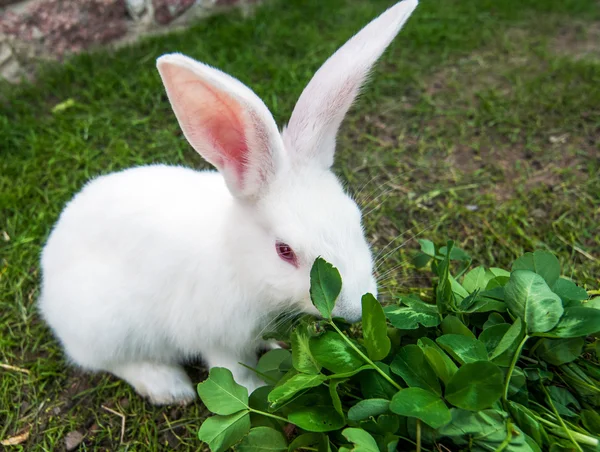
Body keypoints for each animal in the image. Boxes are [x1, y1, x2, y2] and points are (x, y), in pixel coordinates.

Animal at [39, 0, 420, 402]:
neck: (241, 262)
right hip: (109, 326)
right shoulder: (218, 338)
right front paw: (256, 391)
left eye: (356, 219)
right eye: (284, 250)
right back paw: (168, 387)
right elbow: (234, 371)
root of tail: (48, 287)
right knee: (108, 361)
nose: (353, 308)